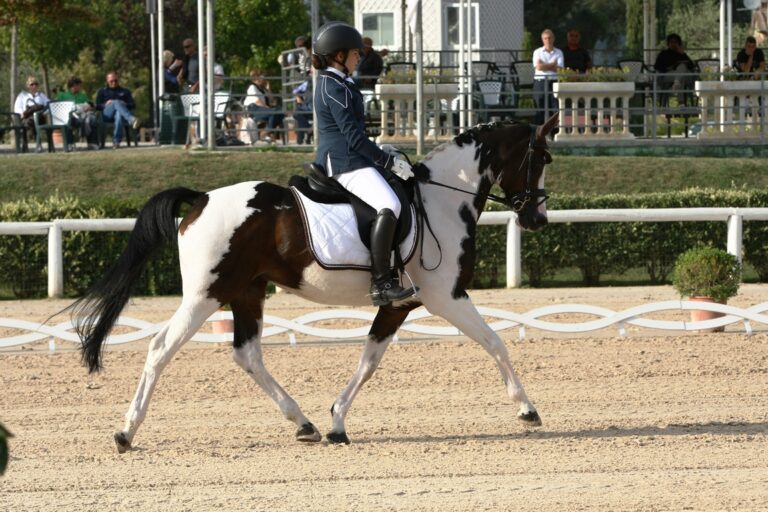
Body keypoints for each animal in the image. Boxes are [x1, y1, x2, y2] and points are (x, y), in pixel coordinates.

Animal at [70, 115, 560, 452]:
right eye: (540, 159)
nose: (538, 219)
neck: (440, 200)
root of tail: (202, 198)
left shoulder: (400, 303)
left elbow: (369, 359)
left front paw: (336, 422)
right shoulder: (446, 297)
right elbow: (495, 342)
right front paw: (527, 409)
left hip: (246, 291)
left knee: (247, 354)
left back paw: (302, 423)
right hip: (206, 295)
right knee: (161, 348)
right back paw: (126, 432)